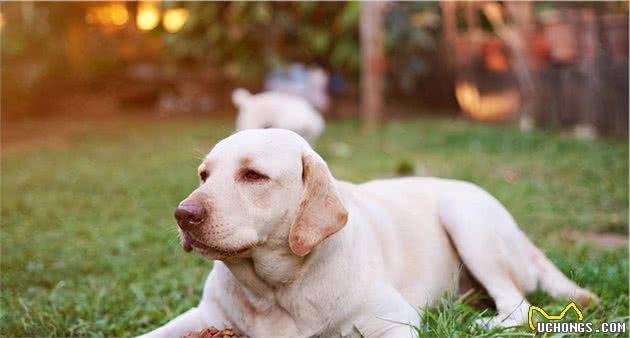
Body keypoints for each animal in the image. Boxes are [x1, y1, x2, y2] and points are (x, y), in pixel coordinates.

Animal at [137, 129, 596, 338]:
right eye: (204, 175)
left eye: (253, 175)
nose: (182, 214)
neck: (275, 290)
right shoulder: (204, 317)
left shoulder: (395, 322)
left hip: (465, 216)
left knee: (517, 305)